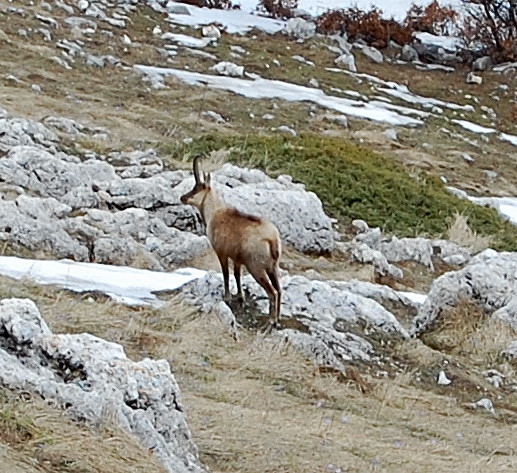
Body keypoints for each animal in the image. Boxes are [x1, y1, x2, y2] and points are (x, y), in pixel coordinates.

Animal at [180, 155, 282, 328]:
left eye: (196, 188)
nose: (182, 197)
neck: (214, 212)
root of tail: (272, 238)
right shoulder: (237, 258)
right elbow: (237, 275)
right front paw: (240, 297)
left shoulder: (221, 252)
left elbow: (226, 274)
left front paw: (227, 297)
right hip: (272, 267)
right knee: (279, 290)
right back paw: (278, 319)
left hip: (256, 267)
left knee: (272, 292)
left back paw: (271, 320)